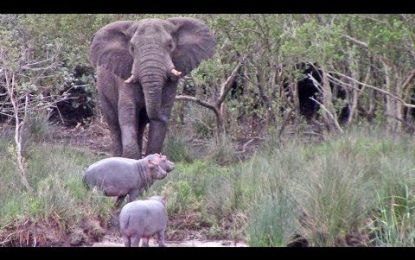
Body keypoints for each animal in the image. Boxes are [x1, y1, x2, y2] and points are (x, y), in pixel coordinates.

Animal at [89, 17, 216, 158]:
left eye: (170, 45)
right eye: (132, 48)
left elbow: (159, 117)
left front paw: (150, 158)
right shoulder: (124, 74)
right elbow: (127, 112)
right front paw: (130, 158)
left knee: (140, 124)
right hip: (102, 91)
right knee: (114, 122)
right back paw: (118, 156)